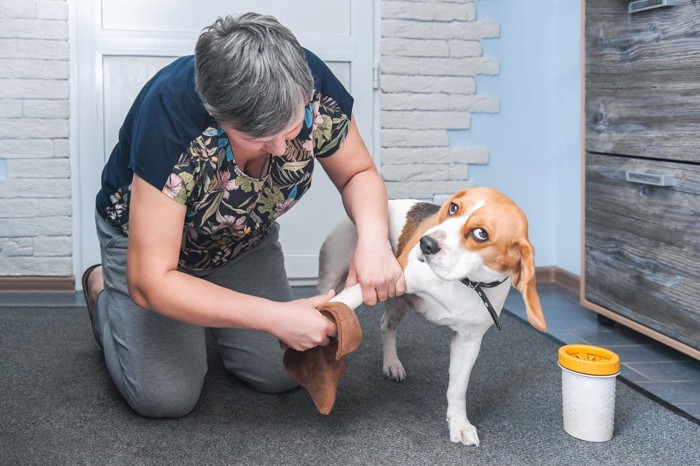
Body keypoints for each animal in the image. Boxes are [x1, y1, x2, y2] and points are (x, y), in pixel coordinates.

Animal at [318, 187, 548, 446]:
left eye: (481, 234)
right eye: (453, 208)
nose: (426, 243)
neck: (464, 281)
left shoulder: (468, 343)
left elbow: (458, 389)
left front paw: (459, 424)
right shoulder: (387, 278)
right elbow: (343, 302)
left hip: (398, 301)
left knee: (387, 327)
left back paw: (392, 364)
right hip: (334, 275)